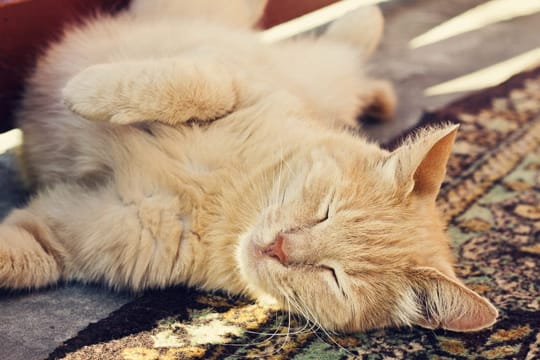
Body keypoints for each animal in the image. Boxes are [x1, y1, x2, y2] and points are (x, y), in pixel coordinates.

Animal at [0, 0, 498, 334]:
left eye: (335, 278)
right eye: (326, 210)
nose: (279, 247)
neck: (223, 201)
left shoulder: (63, 235)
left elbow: (17, 256)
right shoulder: (234, 80)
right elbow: (198, 86)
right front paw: (86, 91)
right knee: (350, 40)